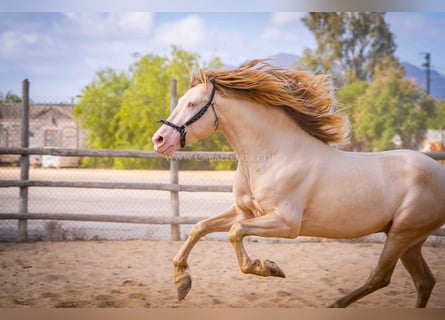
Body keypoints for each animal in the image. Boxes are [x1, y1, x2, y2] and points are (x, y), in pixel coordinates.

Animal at [153, 60, 444, 308]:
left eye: (193, 104)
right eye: (182, 101)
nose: (159, 140)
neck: (274, 156)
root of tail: (439, 172)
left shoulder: (286, 223)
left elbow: (235, 233)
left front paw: (269, 268)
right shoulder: (246, 212)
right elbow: (199, 228)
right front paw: (182, 283)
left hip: (402, 234)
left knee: (381, 277)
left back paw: (335, 304)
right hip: (409, 240)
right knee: (424, 281)